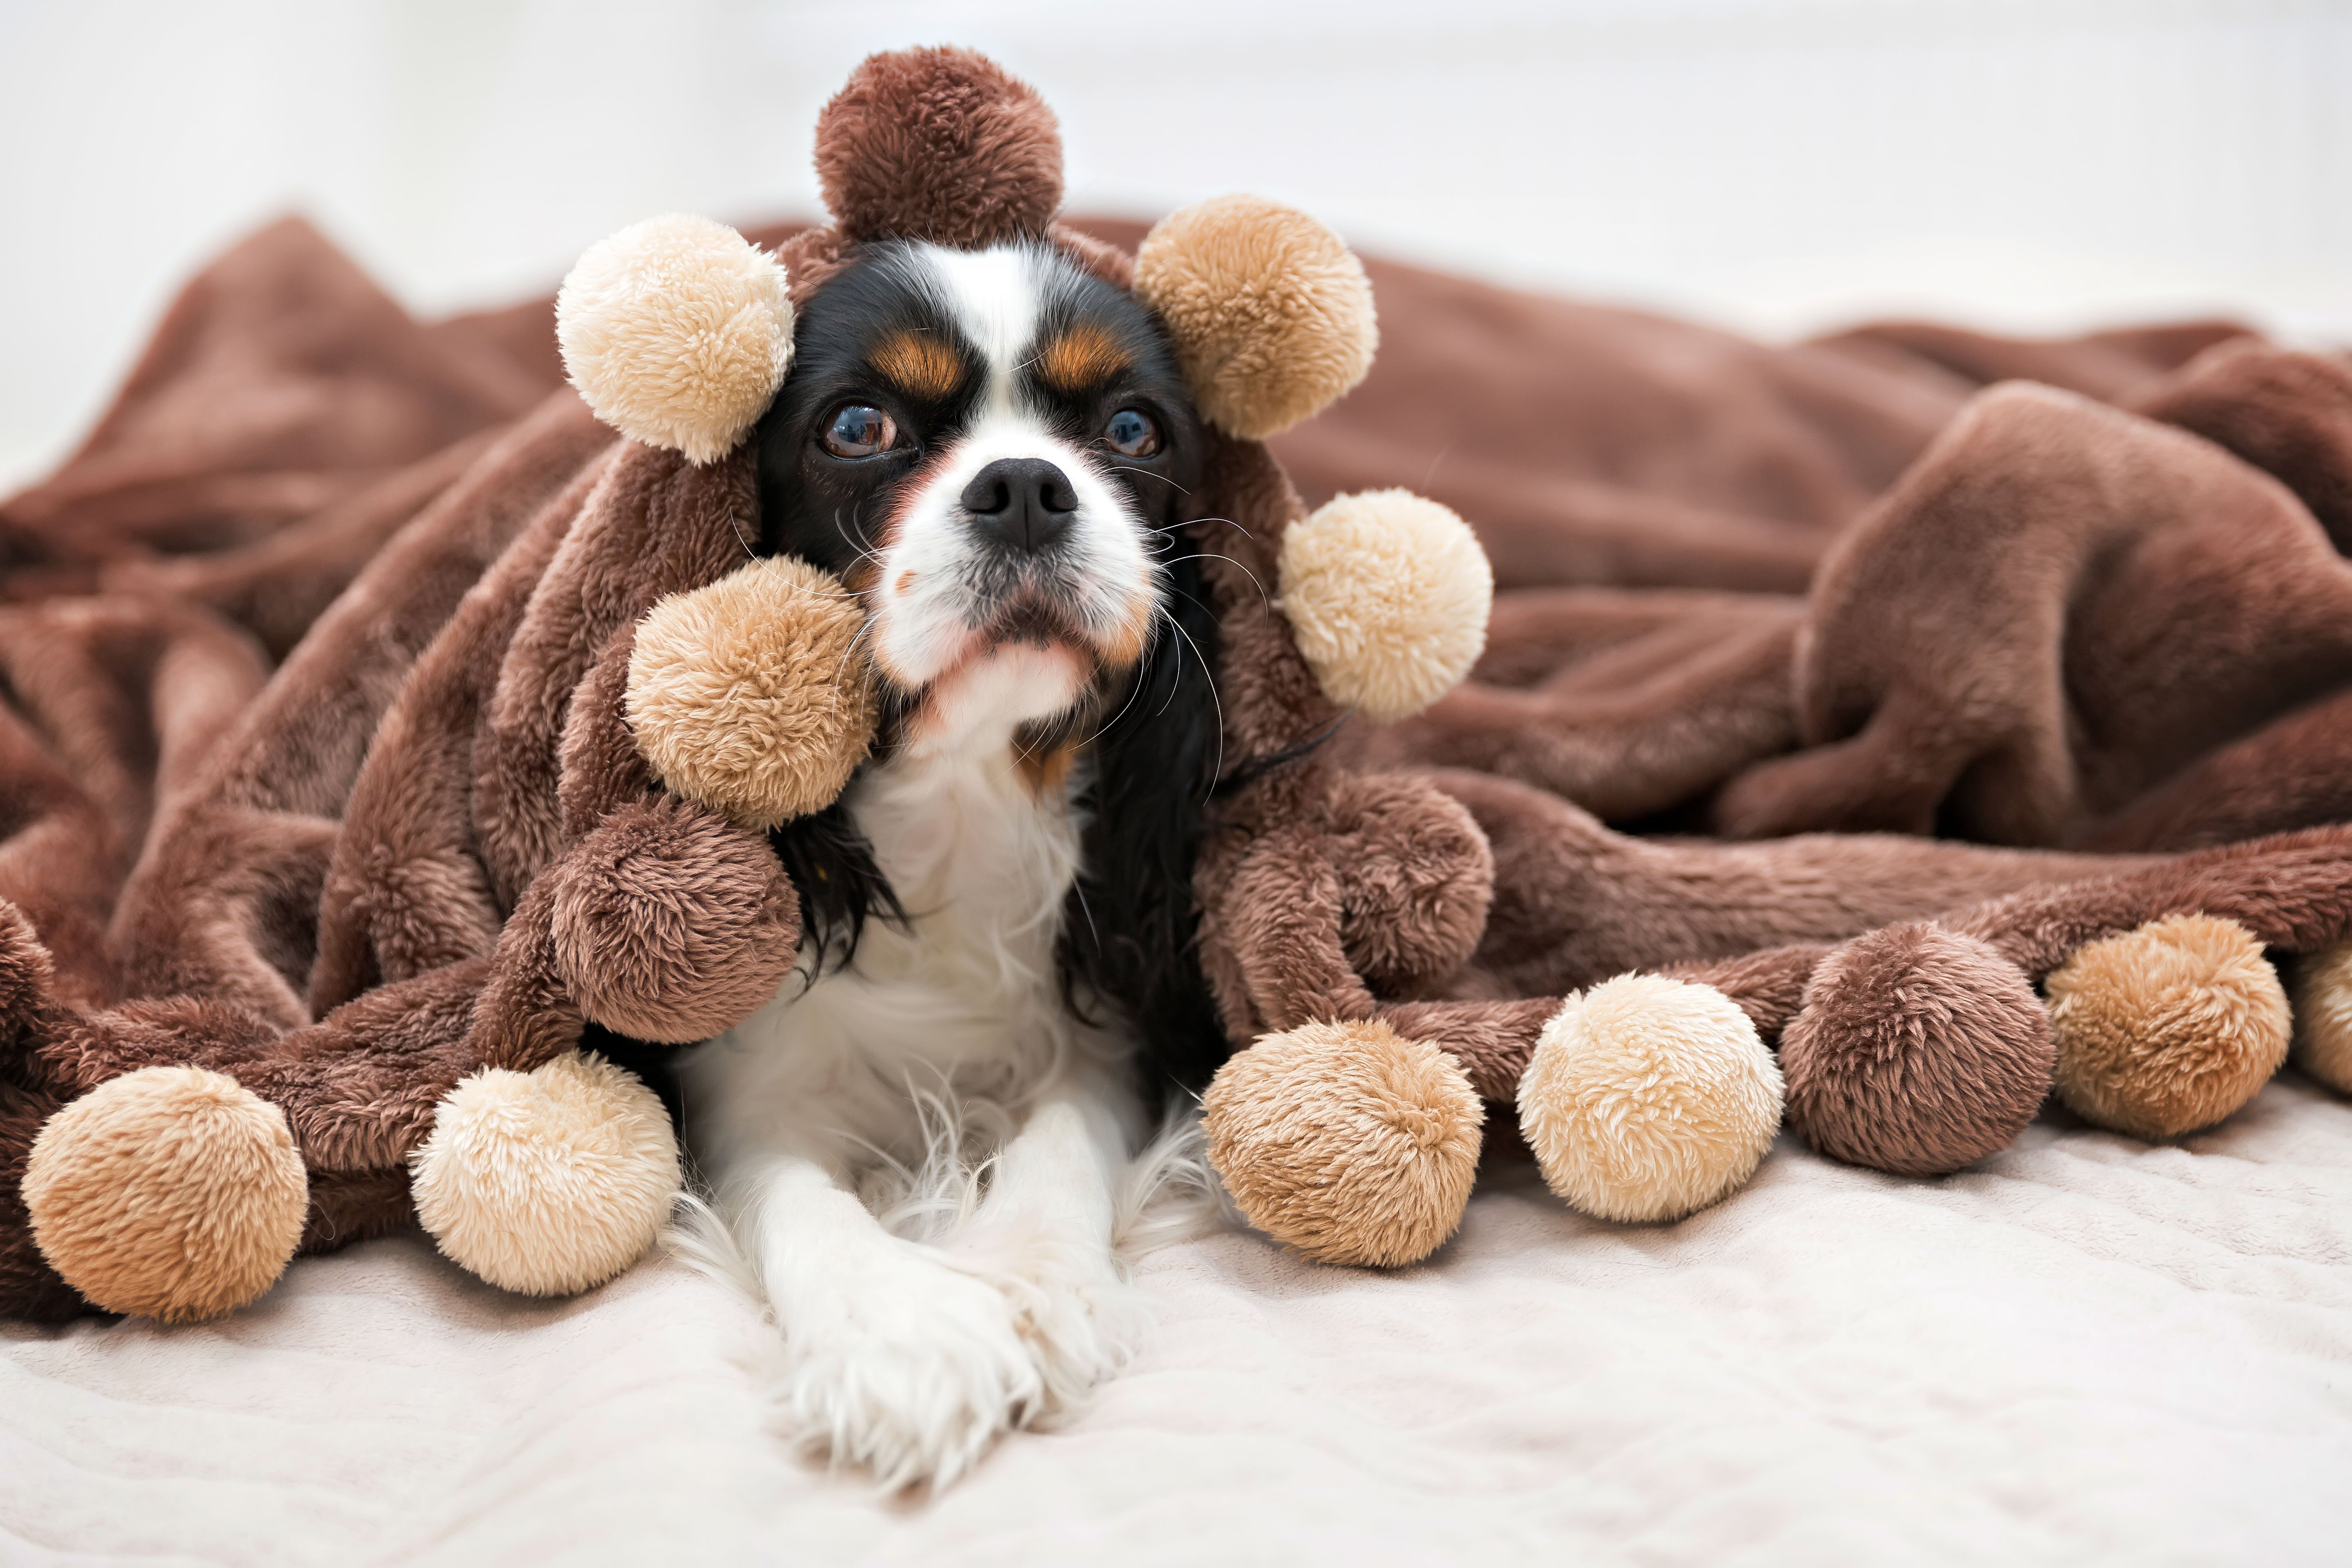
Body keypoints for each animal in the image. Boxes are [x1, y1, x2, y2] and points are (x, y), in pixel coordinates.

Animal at [673, 232, 1232, 1486]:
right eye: (856, 425)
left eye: (1132, 430)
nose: (1025, 485)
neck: (962, 796)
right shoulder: (745, 1079)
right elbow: (792, 1187)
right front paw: (905, 1339)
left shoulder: (1106, 1027)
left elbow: (1064, 1133)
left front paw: (1026, 1278)